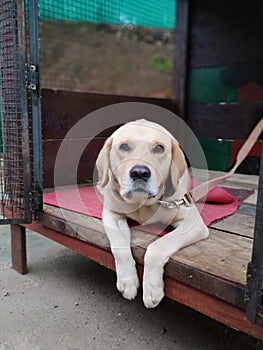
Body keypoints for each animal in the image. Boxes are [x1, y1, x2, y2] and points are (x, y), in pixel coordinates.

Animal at [96, 119, 209, 308]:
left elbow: (157, 246)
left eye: (159, 148)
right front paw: (127, 280)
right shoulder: (112, 213)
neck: (143, 203)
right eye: (124, 146)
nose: (140, 173)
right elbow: (119, 246)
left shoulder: (192, 223)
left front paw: (152, 288)